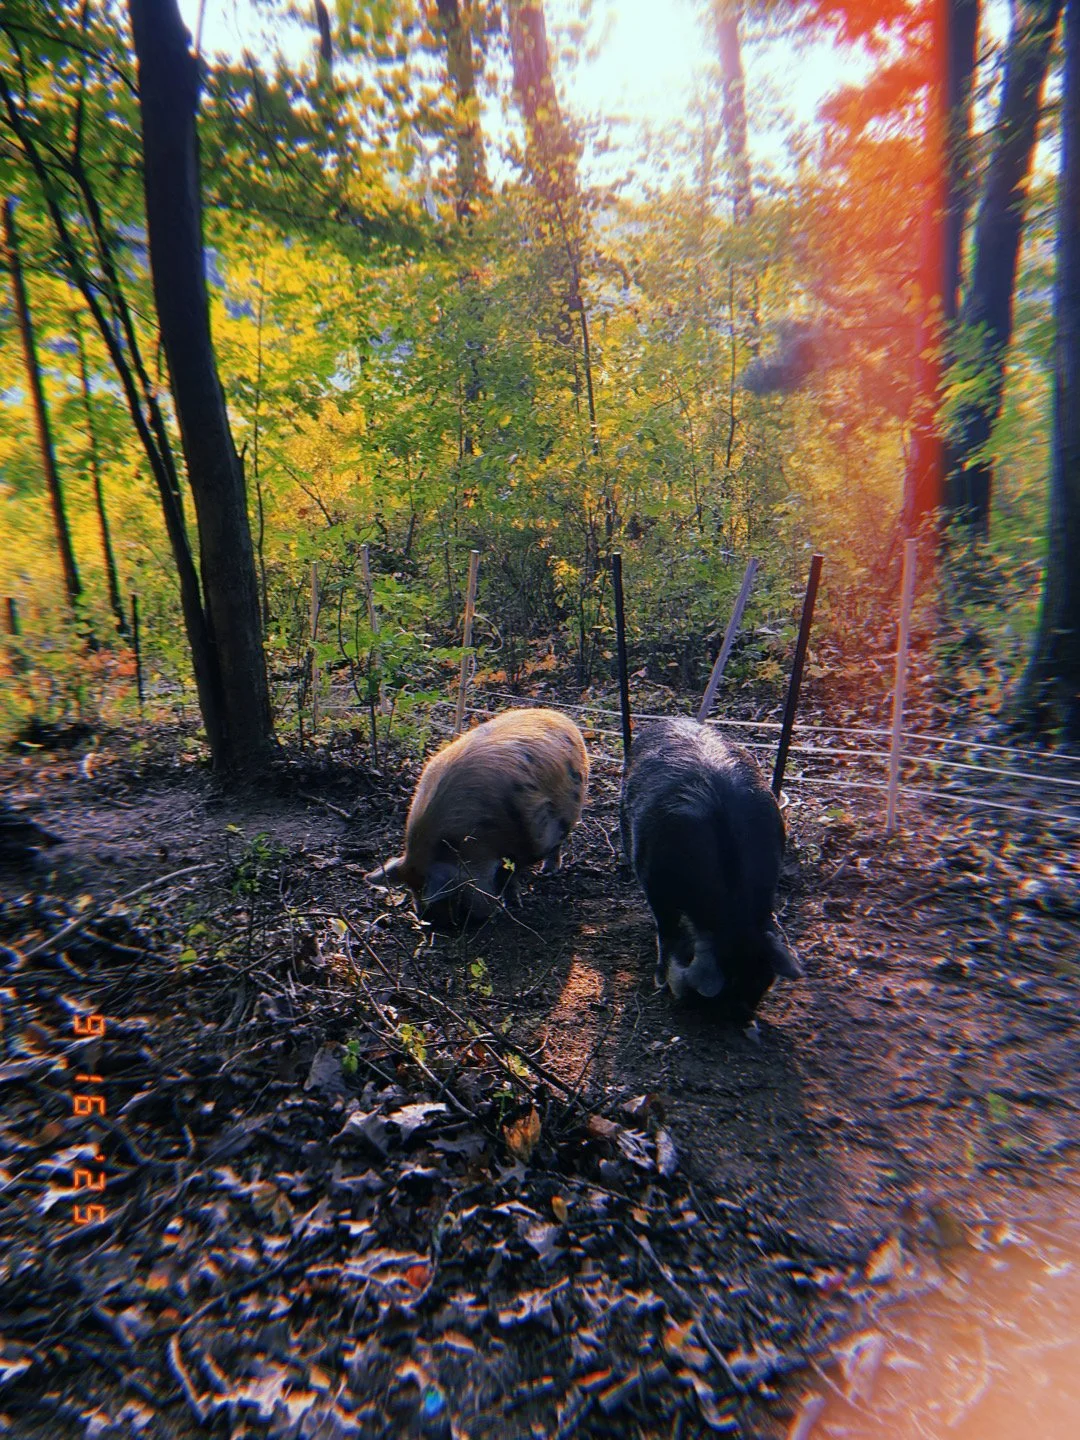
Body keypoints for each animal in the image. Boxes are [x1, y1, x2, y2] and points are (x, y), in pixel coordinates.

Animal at [369, 708, 589, 926]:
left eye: (452, 893)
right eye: (411, 889)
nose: (429, 920)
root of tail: (560, 717)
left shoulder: (527, 840)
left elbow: (511, 875)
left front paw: (512, 905)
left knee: (557, 845)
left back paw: (548, 871)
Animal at [619, 717, 801, 1018]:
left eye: (760, 984)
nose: (744, 1018)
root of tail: (673, 719)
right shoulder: (653, 882)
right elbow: (665, 932)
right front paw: (659, 981)